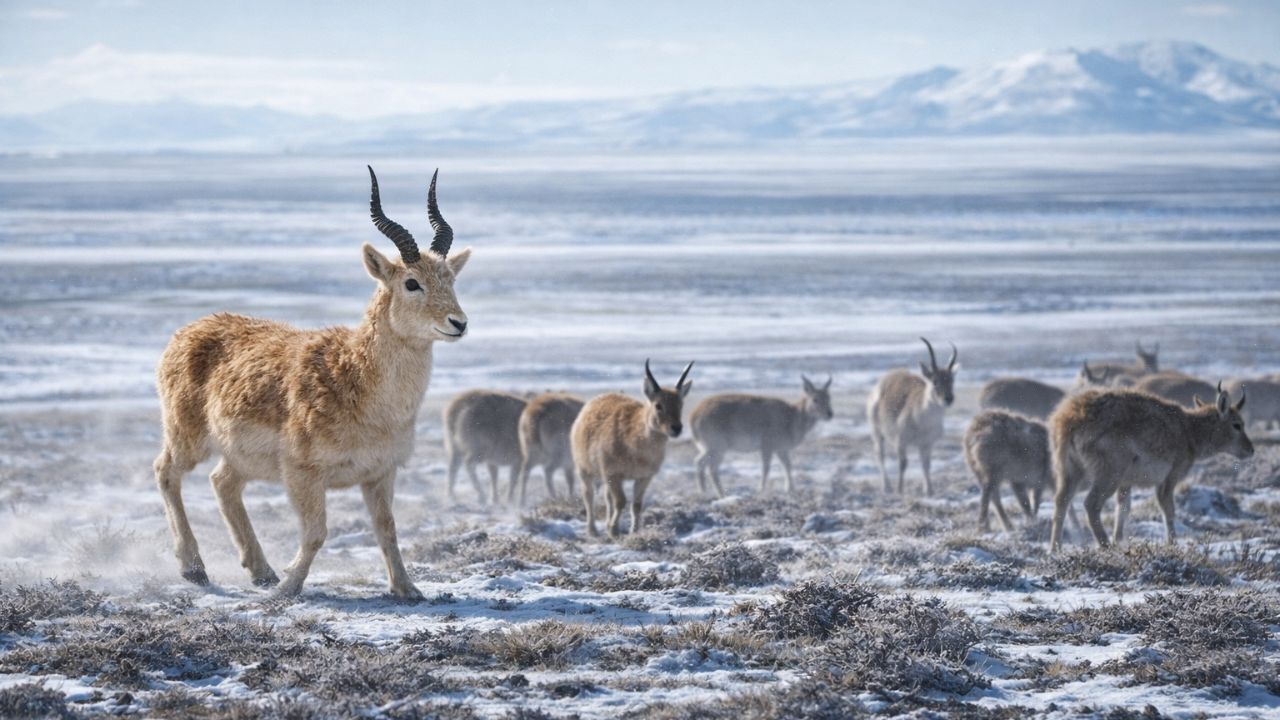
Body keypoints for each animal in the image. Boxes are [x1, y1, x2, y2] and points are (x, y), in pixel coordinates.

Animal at [154, 167, 470, 599]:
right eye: (411, 282)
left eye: (450, 278)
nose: (458, 323)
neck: (359, 384)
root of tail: (186, 331)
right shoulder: (303, 473)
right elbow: (318, 532)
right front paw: (289, 587)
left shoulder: (380, 473)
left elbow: (387, 530)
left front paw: (408, 589)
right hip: (188, 437)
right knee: (166, 472)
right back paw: (195, 569)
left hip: (239, 456)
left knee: (222, 483)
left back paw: (261, 571)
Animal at [572, 360, 693, 538]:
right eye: (658, 405)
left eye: (681, 404)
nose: (676, 428)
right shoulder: (613, 474)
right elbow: (621, 501)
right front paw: (614, 531)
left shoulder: (644, 477)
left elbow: (636, 504)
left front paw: (633, 532)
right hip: (584, 470)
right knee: (588, 496)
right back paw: (592, 530)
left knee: (607, 497)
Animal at [690, 375, 833, 497]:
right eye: (815, 399)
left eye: (829, 397)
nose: (830, 414)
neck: (793, 418)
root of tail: (693, 416)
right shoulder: (767, 445)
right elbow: (766, 468)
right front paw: (761, 489)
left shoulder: (781, 448)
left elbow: (788, 465)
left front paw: (790, 488)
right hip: (717, 445)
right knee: (710, 467)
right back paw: (720, 493)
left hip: (710, 447)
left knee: (700, 462)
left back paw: (704, 491)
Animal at [867, 337, 958, 496]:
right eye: (935, 381)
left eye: (951, 380)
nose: (949, 398)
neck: (922, 420)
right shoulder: (901, 442)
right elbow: (903, 464)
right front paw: (900, 489)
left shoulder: (926, 444)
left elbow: (926, 464)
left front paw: (929, 490)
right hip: (877, 433)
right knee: (880, 455)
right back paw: (887, 487)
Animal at [1048, 383, 1252, 552]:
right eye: (1237, 425)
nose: (1251, 449)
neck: (1191, 434)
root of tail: (1069, 420)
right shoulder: (1170, 476)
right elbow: (1168, 509)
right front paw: (1172, 543)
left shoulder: (1126, 482)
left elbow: (1123, 508)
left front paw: (1119, 540)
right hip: (1109, 472)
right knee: (1091, 504)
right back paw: (1105, 545)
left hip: (1070, 470)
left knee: (1061, 501)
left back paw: (1055, 549)